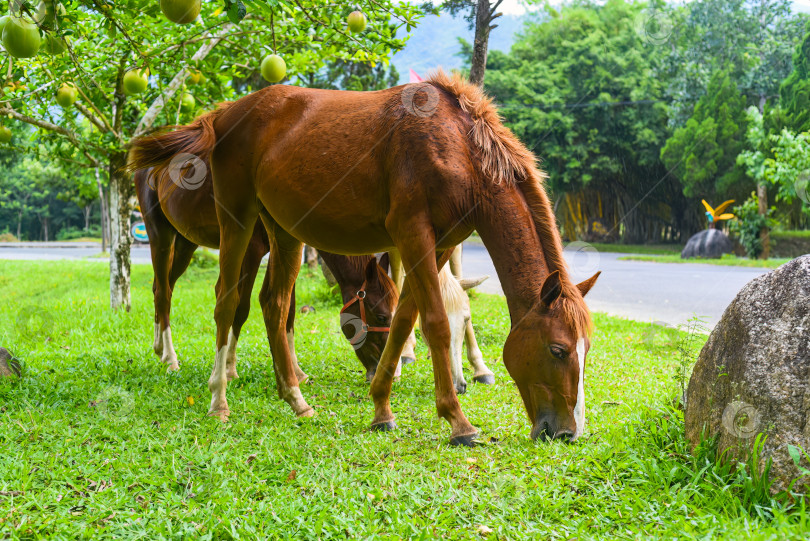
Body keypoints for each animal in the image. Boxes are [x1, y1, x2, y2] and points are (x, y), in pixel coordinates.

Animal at [135, 167, 394, 382]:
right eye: (382, 317)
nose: (387, 371)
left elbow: (287, 308)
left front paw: (294, 371)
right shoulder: (251, 249)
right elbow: (241, 307)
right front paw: (229, 368)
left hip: (185, 242)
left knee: (162, 287)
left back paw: (159, 347)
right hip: (160, 234)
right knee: (163, 292)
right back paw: (170, 358)